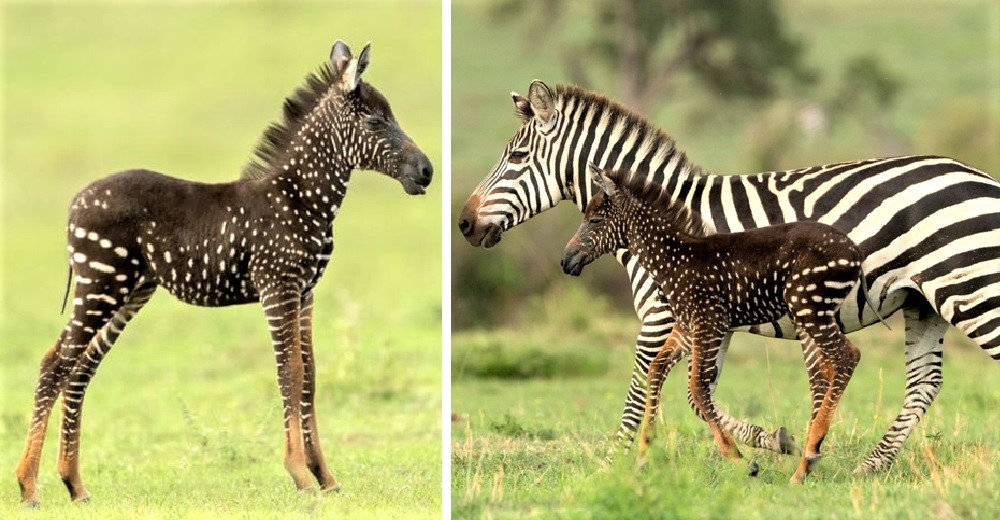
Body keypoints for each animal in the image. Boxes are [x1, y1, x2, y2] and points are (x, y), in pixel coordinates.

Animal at [13, 41, 432, 508]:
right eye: (376, 121)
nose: (427, 172)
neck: (300, 199)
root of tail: (76, 201)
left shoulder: (305, 292)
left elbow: (310, 376)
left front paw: (325, 477)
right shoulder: (278, 287)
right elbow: (289, 372)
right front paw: (300, 475)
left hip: (131, 290)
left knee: (81, 368)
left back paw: (74, 484)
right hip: (101, 284)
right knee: (54, 362)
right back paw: (28, 486)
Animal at [564, 166, 884, 484]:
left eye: (594, 220)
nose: (566, 260)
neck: (674, 257)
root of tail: (853, 250)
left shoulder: (709, 323)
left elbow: (698, 389)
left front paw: (739, 459)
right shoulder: (687, 327)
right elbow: (658, 369)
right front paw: (645, 453)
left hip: (808, 307)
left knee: (847, 357)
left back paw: (809, 454)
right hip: (812, 312)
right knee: (832, 366)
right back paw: (806, 459)